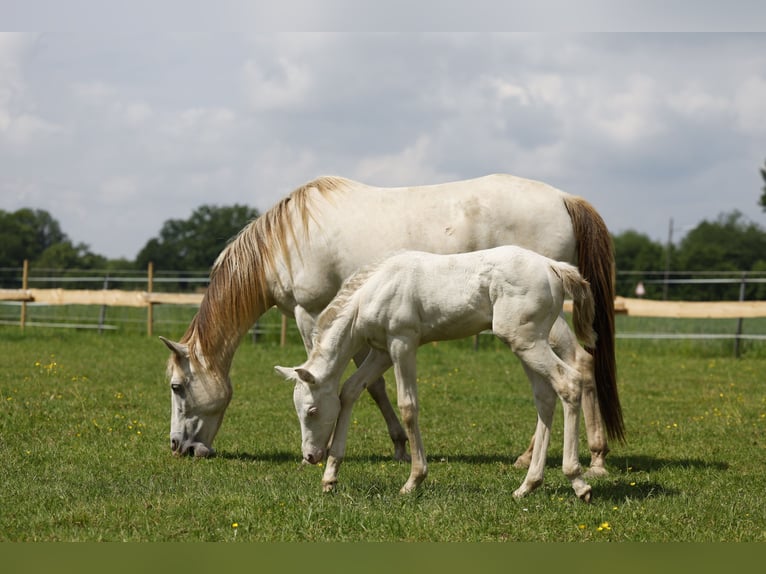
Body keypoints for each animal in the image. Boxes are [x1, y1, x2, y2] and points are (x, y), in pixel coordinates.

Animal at [162, 174, 624, 472]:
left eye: (177, 387)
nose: (179, 447)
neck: (286, 241)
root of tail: (564, 198)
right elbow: (371, 383)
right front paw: (399, 447)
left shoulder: (311, 314)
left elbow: (337, 379)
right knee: (576, 367)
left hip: (541, 323)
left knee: (577, 365)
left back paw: (587, 459)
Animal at [276, 248, 600, 504]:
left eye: (312, 411)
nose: (310, 457)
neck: (372, 291)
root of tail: (552, 266)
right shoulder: (381, 352)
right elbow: (350, 391)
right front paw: (330, 477)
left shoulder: (402, 343)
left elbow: (408, 406)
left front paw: (413, 480)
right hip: (527, 343)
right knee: (545, 398)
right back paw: (528, 486)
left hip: (527, 341)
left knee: (569, 383)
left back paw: (578, 481)